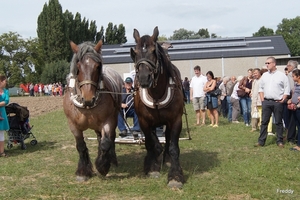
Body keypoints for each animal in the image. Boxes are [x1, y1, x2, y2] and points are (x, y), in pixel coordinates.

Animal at [63, 40, 123, 181]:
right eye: (78, 67)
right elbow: (81, 146)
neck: (87, 107)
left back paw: (112, 160)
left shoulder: (108, 121)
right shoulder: (73, 125)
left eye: (97, 66)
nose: (89, 98)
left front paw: (102, 166)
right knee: (99, 138)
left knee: (109, 139)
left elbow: (106, 143)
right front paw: (83, 172)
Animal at [131, 26, 185, 188]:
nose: (143, 78)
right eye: (135, 52)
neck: (156, 94)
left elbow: (173, 147)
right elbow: (150, 143)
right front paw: (152, 167)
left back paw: (166, 159)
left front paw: (175, 175)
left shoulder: (175, 120)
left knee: (167, 139)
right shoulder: (144, 121)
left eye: (153, 51)